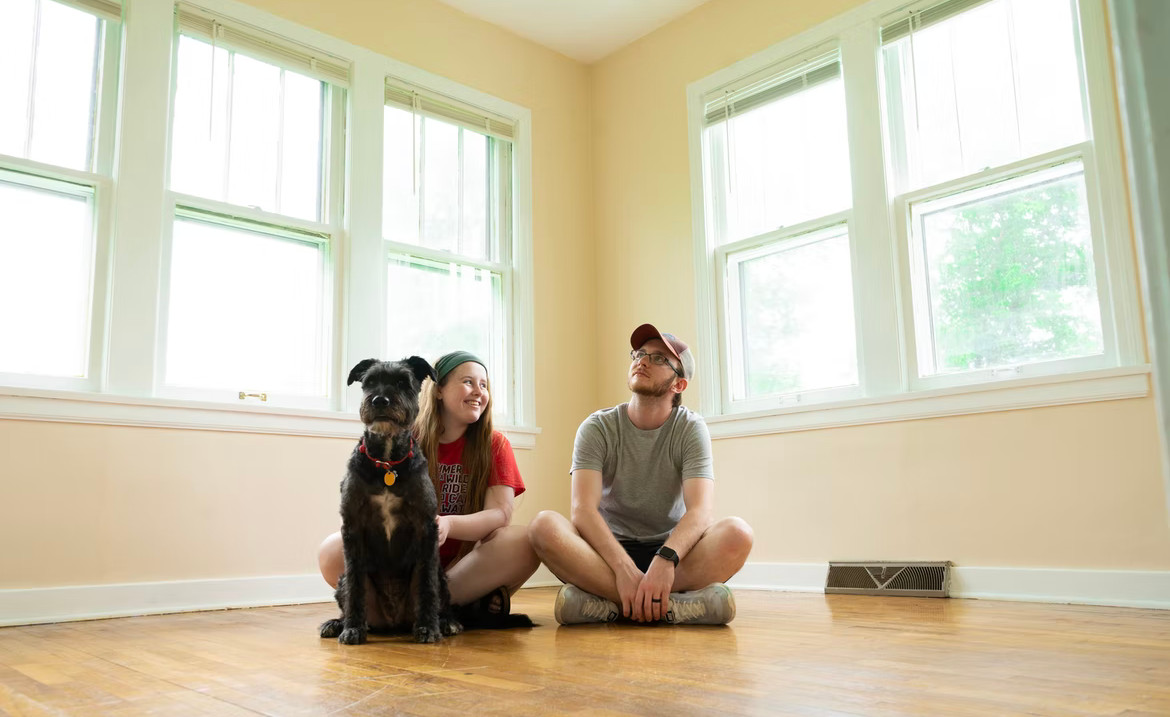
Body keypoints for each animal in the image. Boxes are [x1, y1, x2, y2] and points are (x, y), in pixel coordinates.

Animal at [325, 355, 465, 640]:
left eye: (402, 382)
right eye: (369, 382)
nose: (380, 400)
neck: (387, 464)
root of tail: (393, 622)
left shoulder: (426, 527)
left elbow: (427, 586)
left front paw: (428, 627)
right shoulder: (352, 528)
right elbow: (355, 585)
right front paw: (352, 628)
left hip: (439, 576)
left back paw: (446, 621)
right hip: (343, 581)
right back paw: (338, 623)